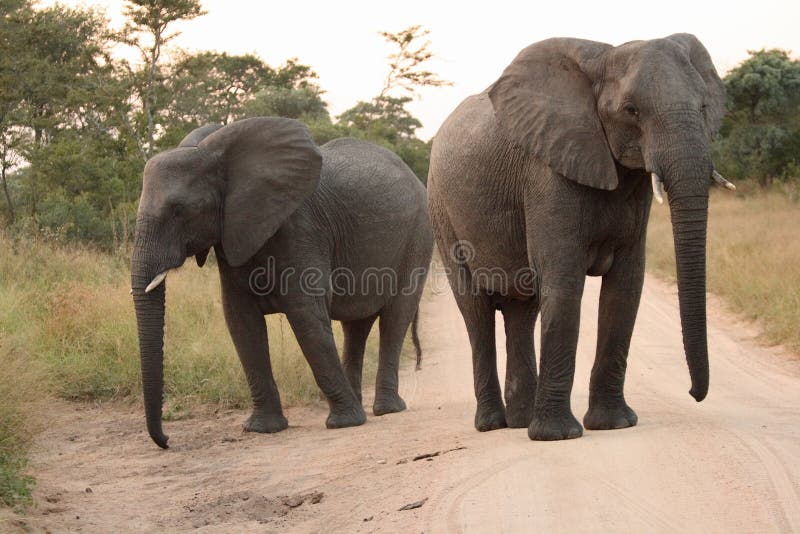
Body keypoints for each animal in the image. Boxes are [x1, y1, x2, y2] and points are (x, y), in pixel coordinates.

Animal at [131, 117, 432, 448]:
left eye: (179, 210)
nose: (167, 440)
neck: (217, 153)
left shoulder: (300, 227)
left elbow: (306, 316)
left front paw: (345, 424)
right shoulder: (234, 232)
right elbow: (241, 321)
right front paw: (262, 429)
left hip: (419, 236)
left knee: (395, 317)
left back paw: (387, 410)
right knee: (356, 325)